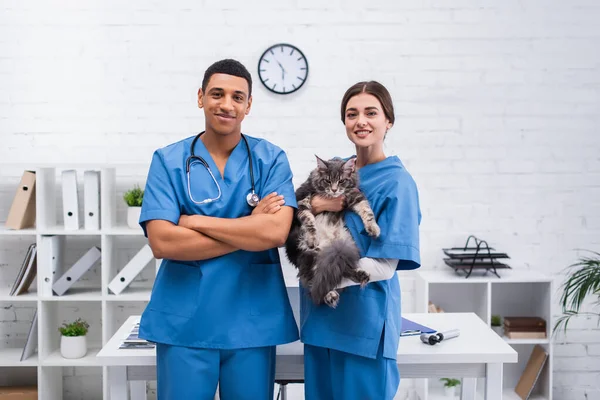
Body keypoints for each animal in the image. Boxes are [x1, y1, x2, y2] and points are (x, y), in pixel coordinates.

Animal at [284, 155, 380, 306]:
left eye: (341, 181)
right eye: (327, 180)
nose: (334, 190)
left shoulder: (355, 196)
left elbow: (367, 211)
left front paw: (373, 228)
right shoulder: (301, 201)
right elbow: (309, 219)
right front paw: (313, 238)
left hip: (342, 249)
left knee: (336, 269)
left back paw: (361, 275)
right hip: (308, 254)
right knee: (313, 278)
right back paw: (330, 295)